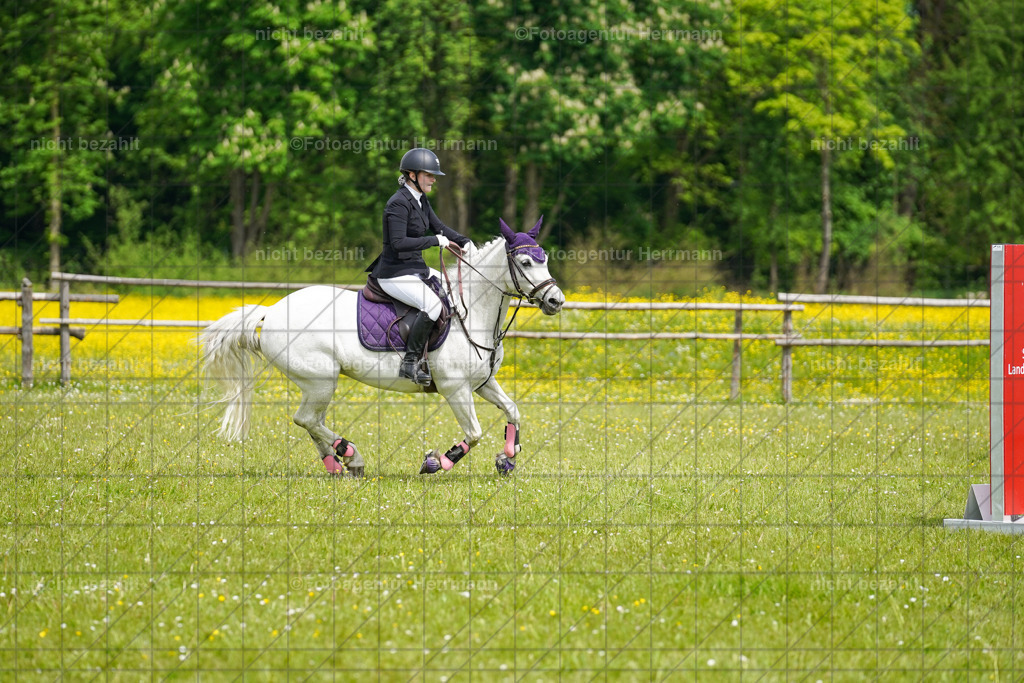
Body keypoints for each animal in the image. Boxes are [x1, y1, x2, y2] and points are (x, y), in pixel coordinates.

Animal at [197, 217, 565, 477]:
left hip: (317, 384)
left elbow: (513, 411)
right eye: (526, 263)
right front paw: (437, 462)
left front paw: (507, 458)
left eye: (544, 258)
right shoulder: (455, 388)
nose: (555, 300)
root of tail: (271, 311)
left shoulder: (483, 383)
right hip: (321, 380)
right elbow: (473, 433)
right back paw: (349, 454)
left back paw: (338, 463)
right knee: (306, 419)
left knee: (310, 422)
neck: (472, 310)